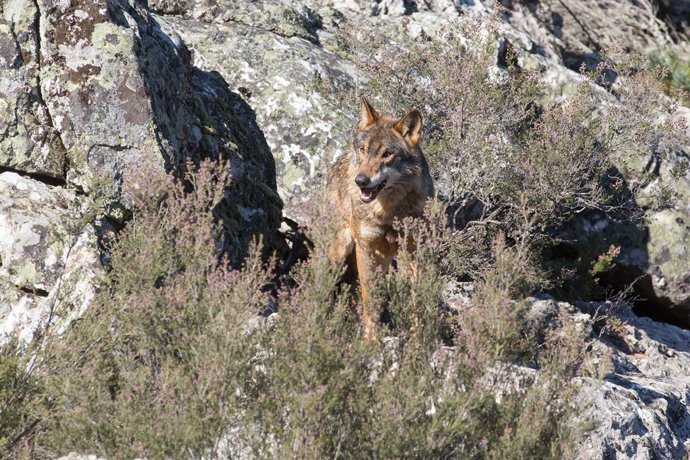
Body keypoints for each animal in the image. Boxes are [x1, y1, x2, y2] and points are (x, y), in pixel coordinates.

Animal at [327, 97, 434, 339]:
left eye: (387, 154)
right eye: (363, 150)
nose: (361, 181)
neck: (390, 212)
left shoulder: (414, 250)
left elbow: (416, 298)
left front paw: (418, 339)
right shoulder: (367, 247)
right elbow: (371, 299)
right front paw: (371, 339)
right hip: (339, 252)